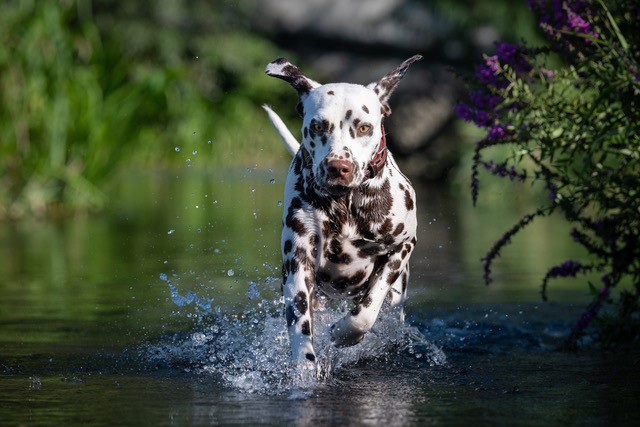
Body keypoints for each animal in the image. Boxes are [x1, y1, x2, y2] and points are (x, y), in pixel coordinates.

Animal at [262, 55, 422, 366]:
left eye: (364, 128)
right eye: (318, 126)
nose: (339, 167)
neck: (346, 202)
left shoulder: (402, 247)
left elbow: (366, 311)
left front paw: (344, 333)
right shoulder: (298, 262)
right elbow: (300, 326)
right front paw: (305, 367)